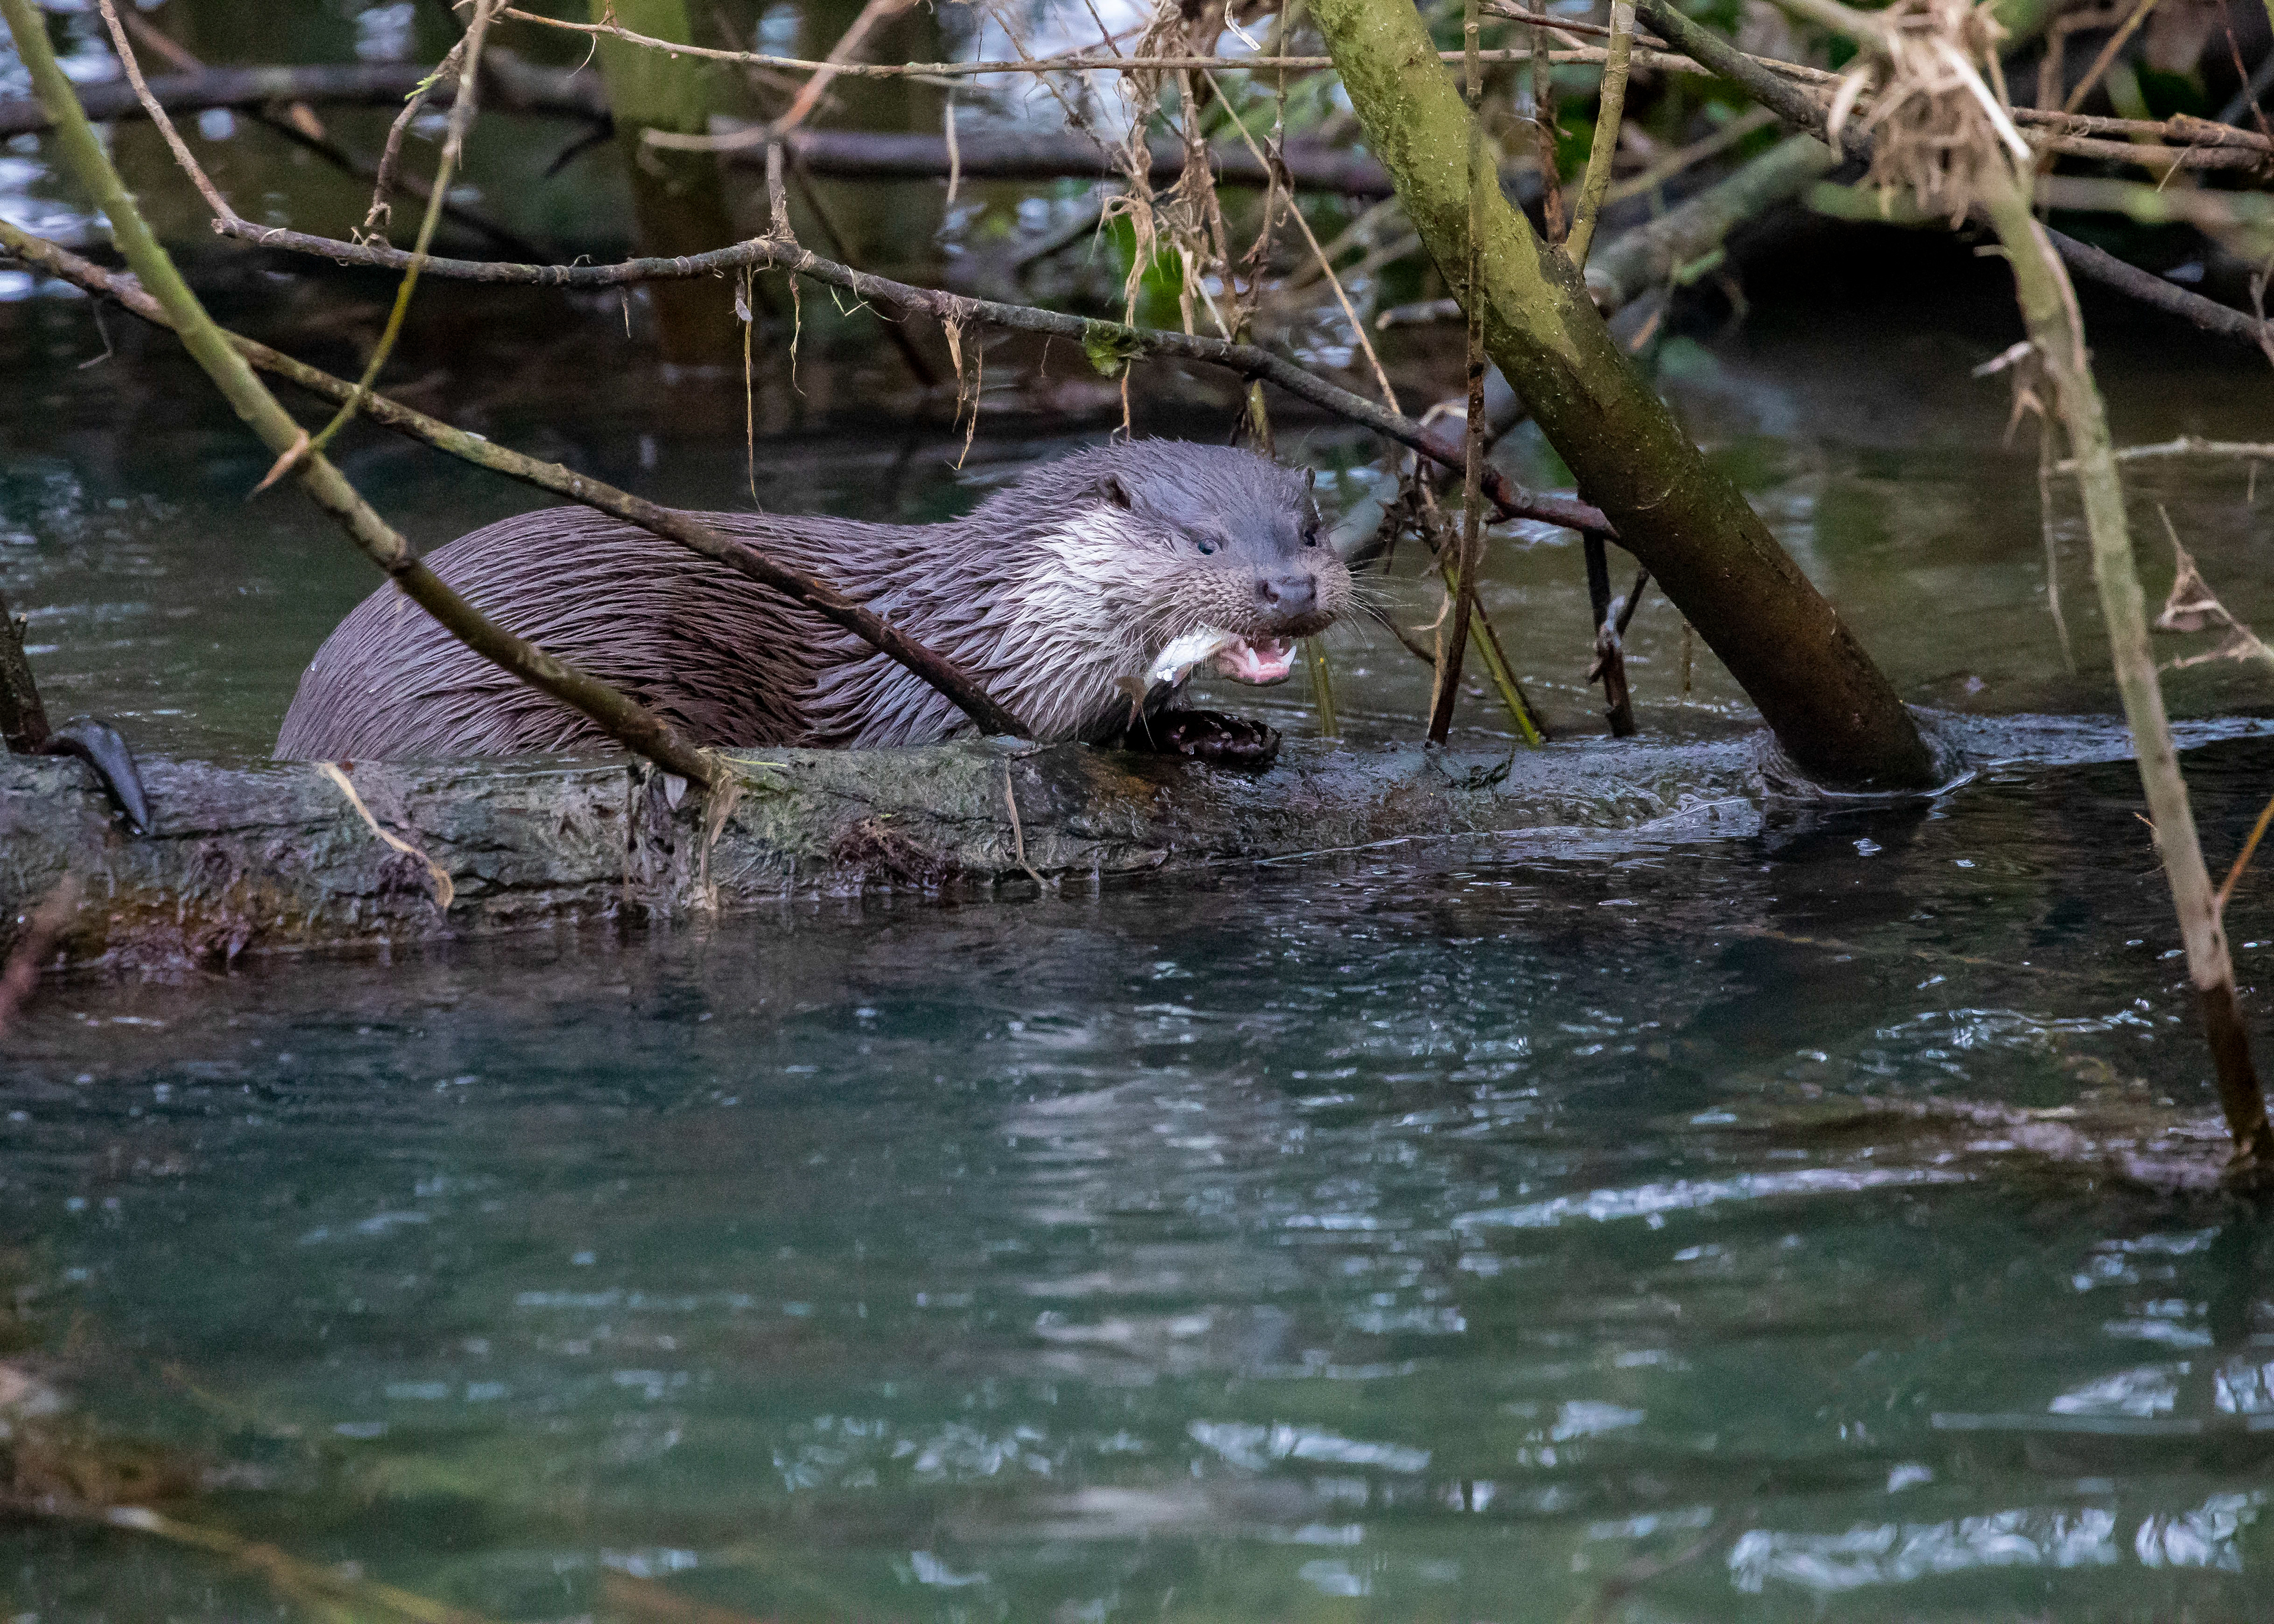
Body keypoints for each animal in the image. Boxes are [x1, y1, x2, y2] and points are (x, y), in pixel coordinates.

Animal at [275, 441, 1350, 766]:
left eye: (1310, 527)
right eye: (1206, 541)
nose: (1290, 587)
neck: (993, 626)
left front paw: (1217, 731)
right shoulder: (931, 702)